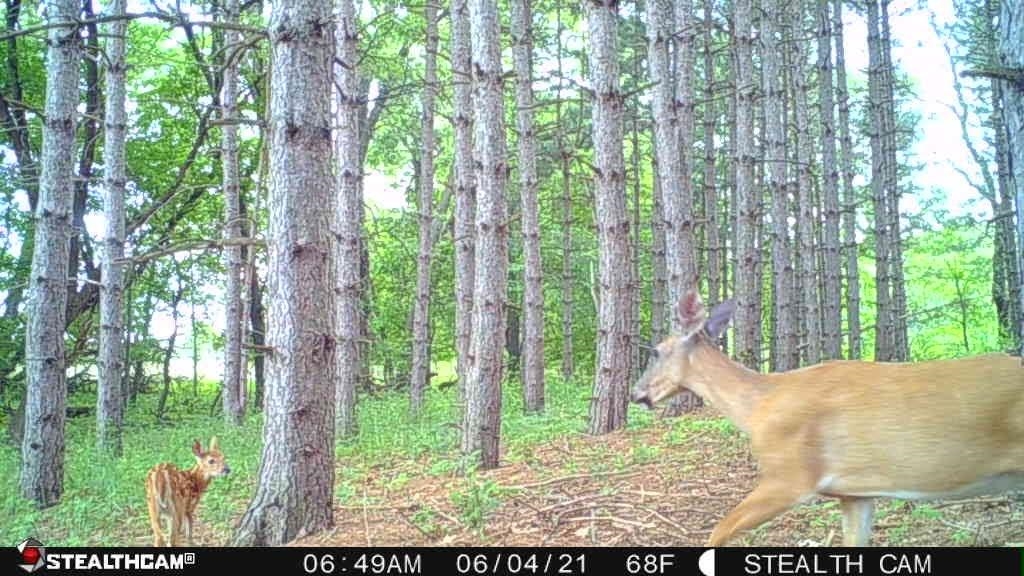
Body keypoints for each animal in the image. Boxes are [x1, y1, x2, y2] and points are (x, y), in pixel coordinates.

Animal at [632, 289, 1024, 546]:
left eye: (657, 351)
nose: (636, 392)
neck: (759, 406)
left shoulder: (790, 477)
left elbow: (716, 533)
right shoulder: (855, 493)